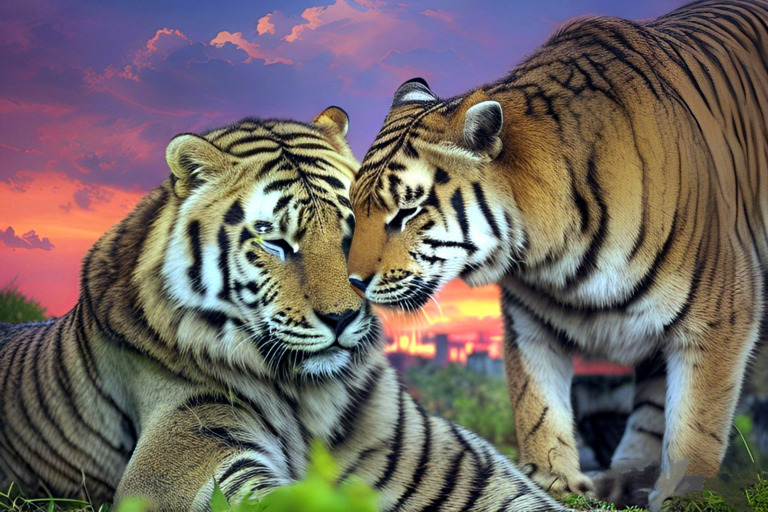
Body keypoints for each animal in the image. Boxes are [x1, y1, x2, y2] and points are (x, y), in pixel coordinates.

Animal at [0, 110, 569, 511]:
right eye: (275, 241)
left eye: (356, 229)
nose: (341, 318)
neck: (311, 394)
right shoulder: (184, 456)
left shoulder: (422, 449)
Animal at [346, 0, 768, 509]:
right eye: (356, 208)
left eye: (406, 213)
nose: (353, 282)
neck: (554, 256)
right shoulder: (530, 322)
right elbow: (538, 405)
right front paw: (553, 481)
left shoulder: (723, 312)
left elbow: (697, 423)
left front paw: (685, 497)